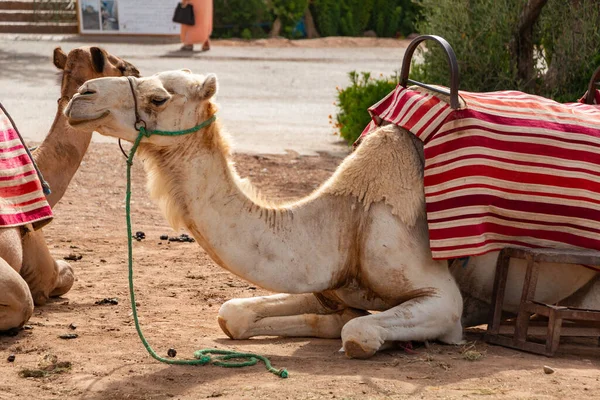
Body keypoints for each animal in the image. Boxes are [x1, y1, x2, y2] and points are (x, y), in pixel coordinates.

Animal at [63, 70, 596, 358]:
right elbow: (234, 315)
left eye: (159, 97)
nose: (81, 95)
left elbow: (359, 332)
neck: (346, 219)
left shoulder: (441, 296)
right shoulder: (328, 281)